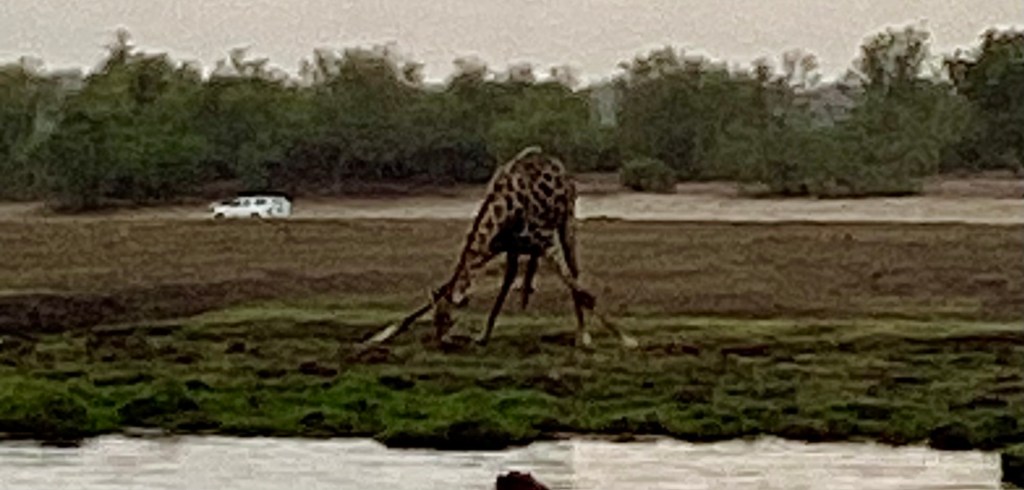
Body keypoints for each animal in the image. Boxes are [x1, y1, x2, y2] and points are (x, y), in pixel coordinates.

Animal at [362, 146, 638, 349]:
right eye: (435, 320)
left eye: (449, 319)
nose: (440, 342)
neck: (507, 209)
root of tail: (556, 162)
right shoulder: (505, 245)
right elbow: (497, 284)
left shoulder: (545, 242)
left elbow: (580, 289)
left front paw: (625, 339)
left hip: (566, 221)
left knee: (575, 270)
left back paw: (583, 334)